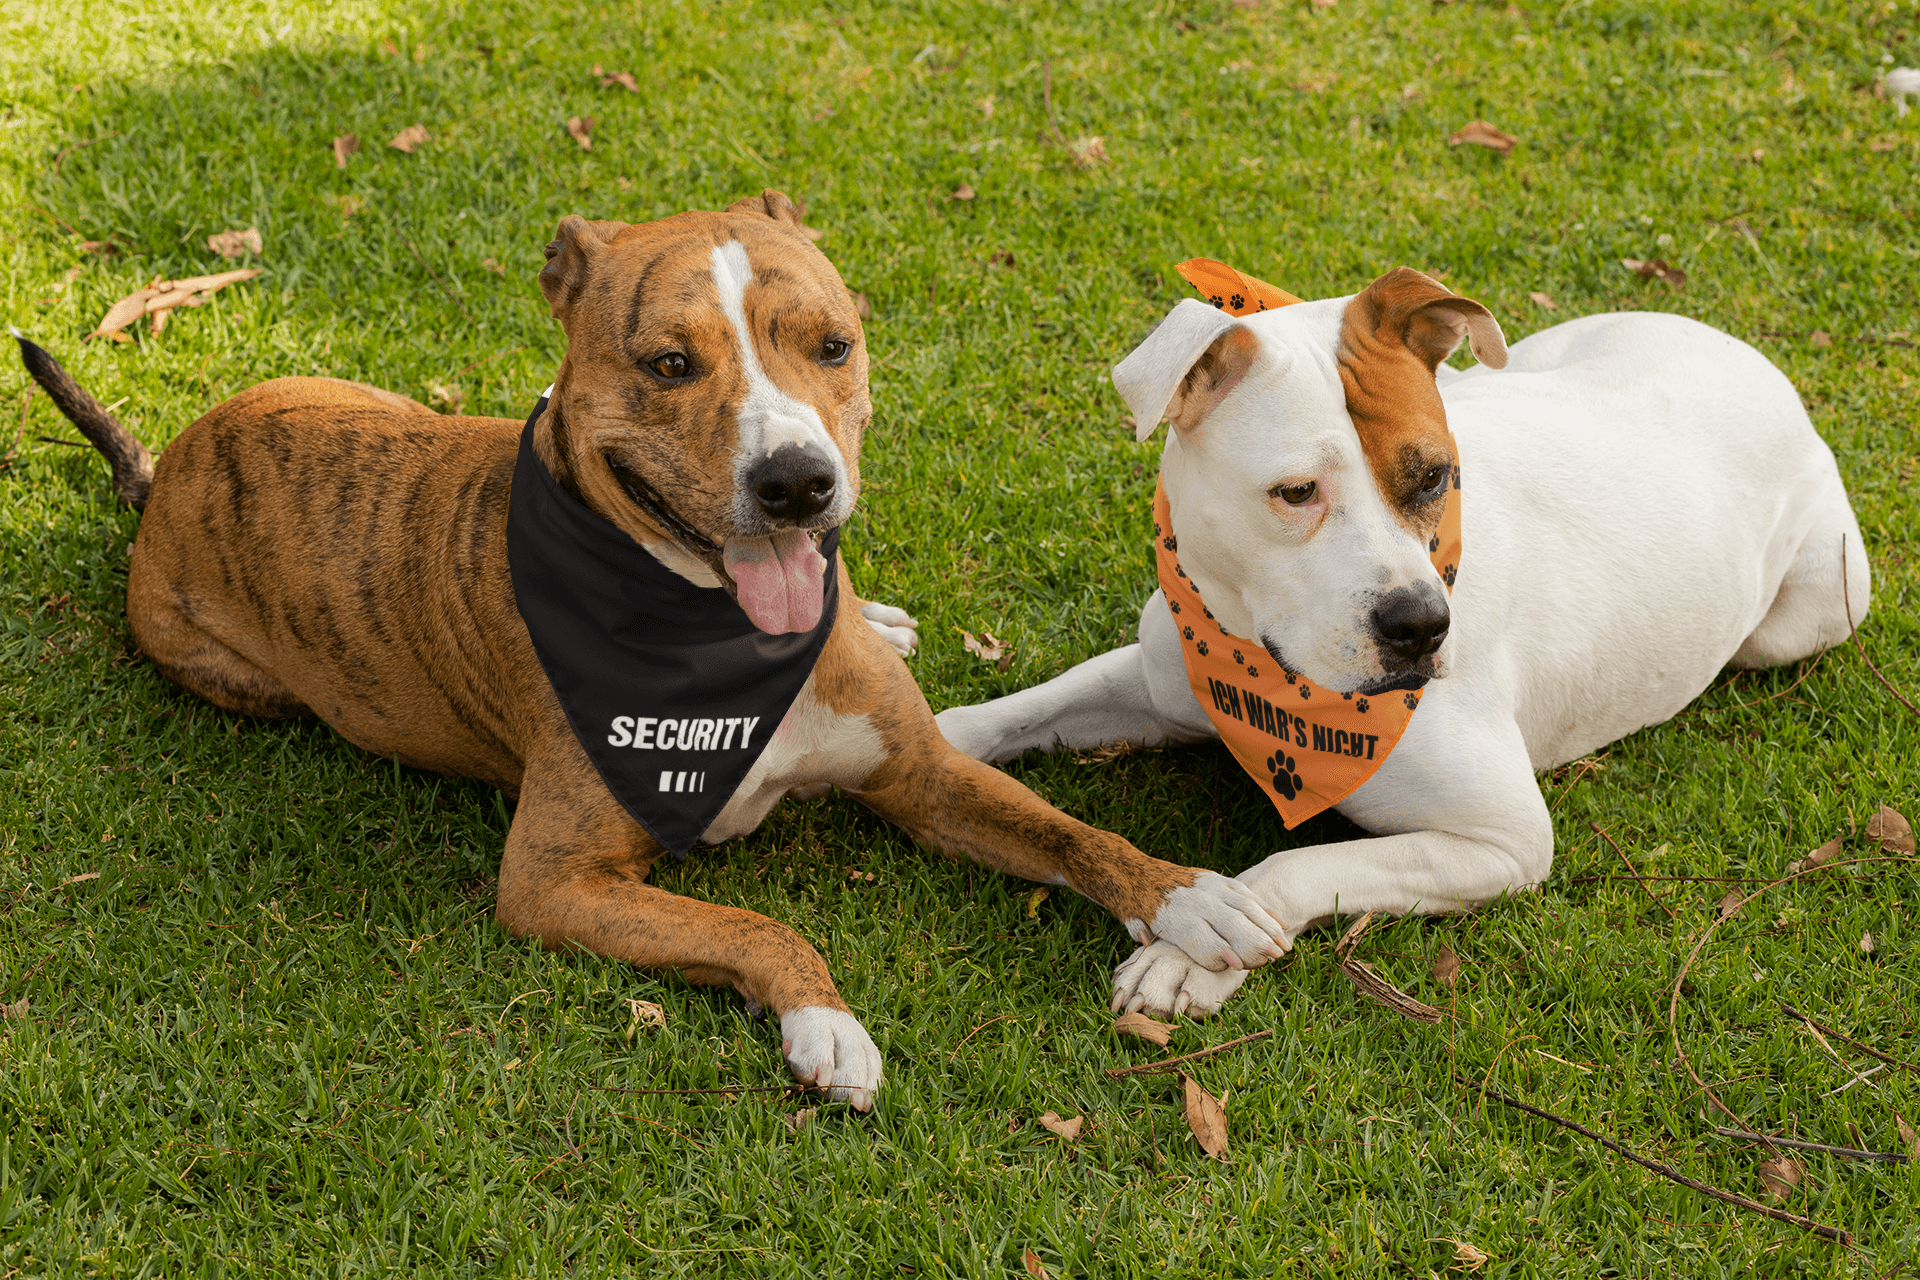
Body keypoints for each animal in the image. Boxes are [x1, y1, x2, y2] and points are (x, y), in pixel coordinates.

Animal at [936, 268, 1866, 1020]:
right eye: (1296, 492)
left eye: (1434, 477)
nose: (1421, 625)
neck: (1258, 666)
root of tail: (1750, 357)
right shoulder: (1158, 681)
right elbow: (1009, 714)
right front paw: (931, 738)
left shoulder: (1503, 841)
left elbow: (1293, 864)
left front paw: (1191, 953)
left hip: (1804, 613)